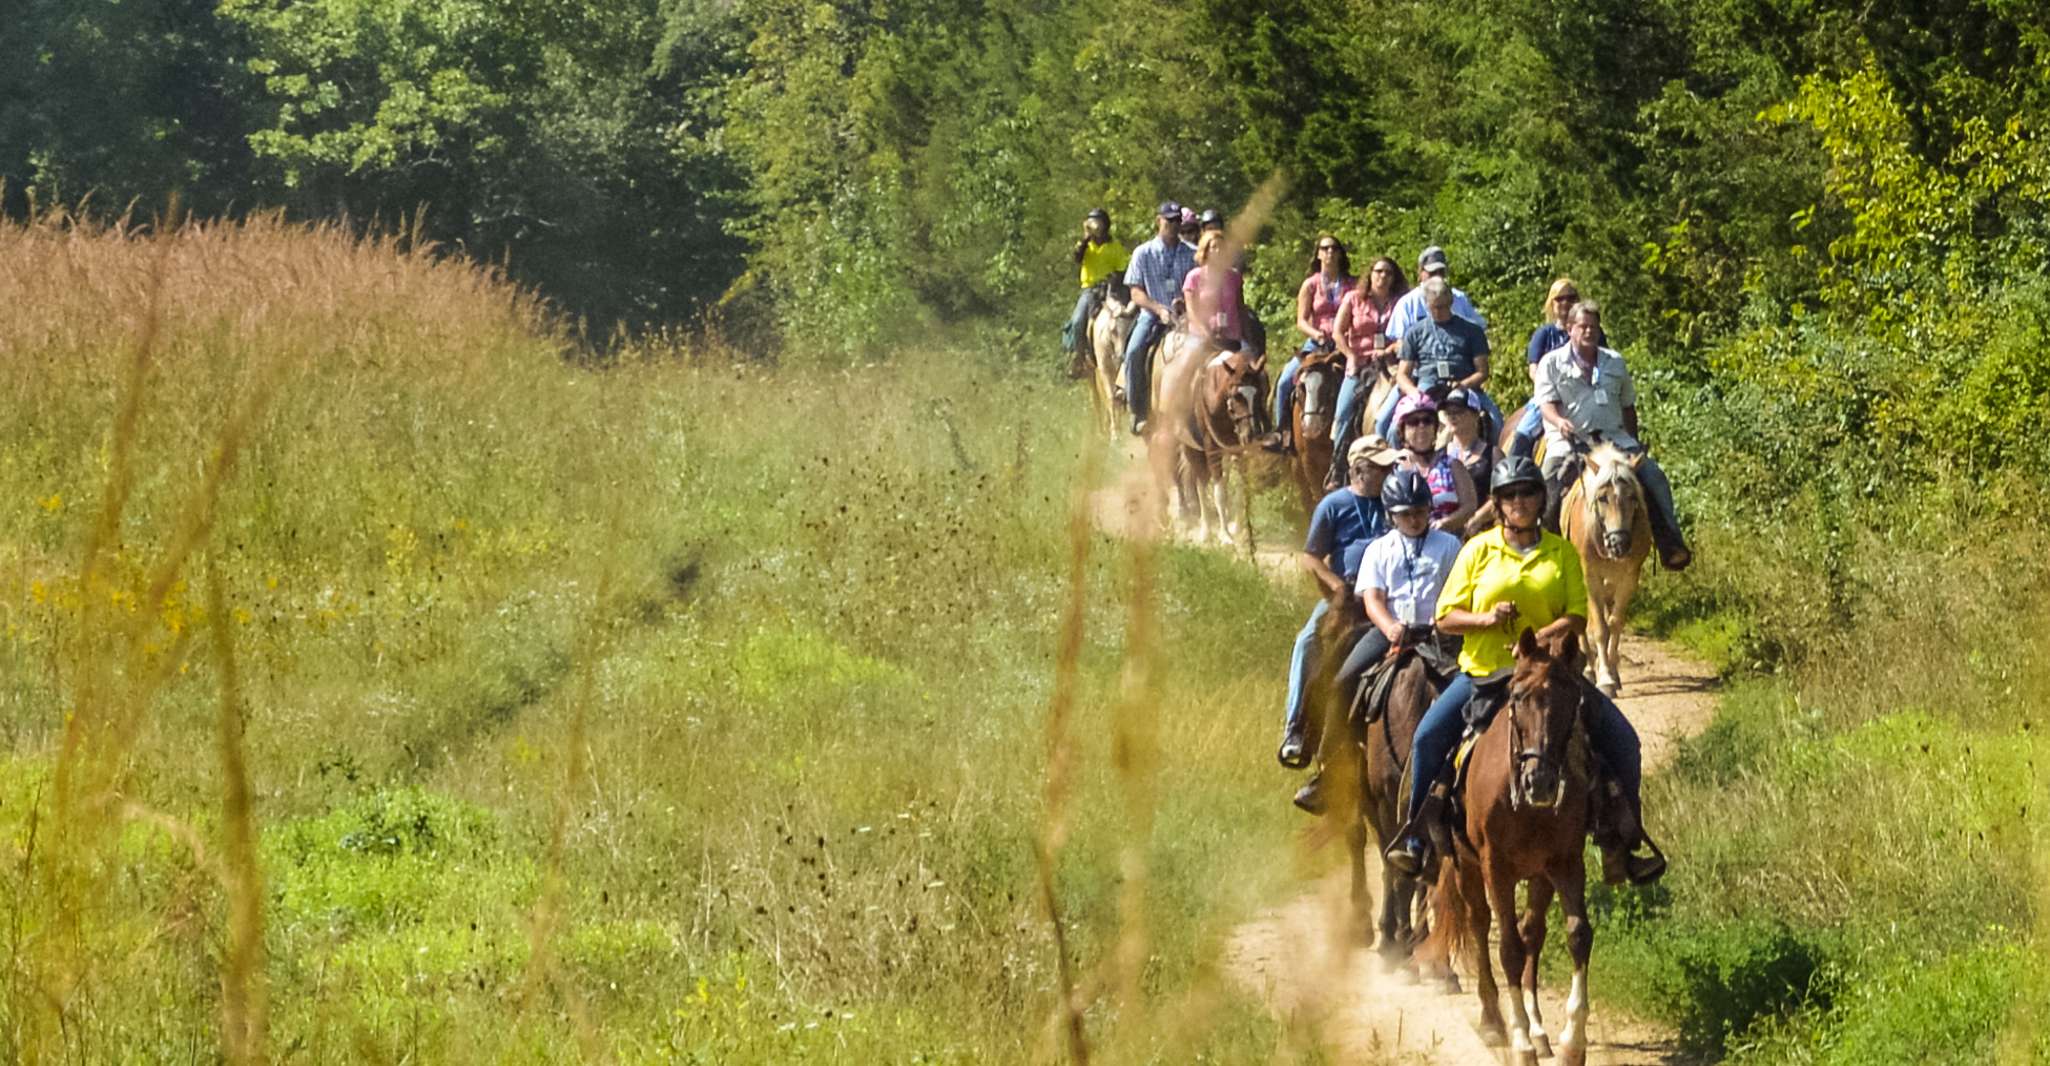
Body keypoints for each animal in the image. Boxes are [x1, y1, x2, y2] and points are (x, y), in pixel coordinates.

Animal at [1426, 623, 1599, 1066]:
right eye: (1518, 698)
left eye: (1571, 699)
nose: (1540, 781)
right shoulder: (1496, 867)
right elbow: (1507, 949)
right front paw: (1520, 1043)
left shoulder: (1566, 862)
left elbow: (1577, 935)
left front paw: (1573, 1041)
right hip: (1469, 867)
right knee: (1480, 924)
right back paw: (1493, 1020)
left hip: (1538, 875)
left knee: (1532, 931)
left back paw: (1539, 1030)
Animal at [1558, 442, 1656, 701]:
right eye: (1602, 498)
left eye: (1632, 496)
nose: (1618, 543)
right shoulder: (1589, 576)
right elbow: (1600, 628)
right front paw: (1604, 679)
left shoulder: (1629, 577)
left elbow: (1615, 623)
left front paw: (1613, 673)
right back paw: (1589, 670)